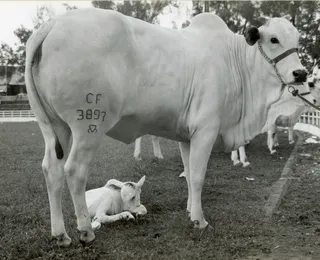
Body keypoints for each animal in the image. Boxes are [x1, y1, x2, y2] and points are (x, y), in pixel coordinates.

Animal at [26, 8, 308, 246]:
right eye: (273, 39)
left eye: (297, 41)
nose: (301, 73)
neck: (235, 63)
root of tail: (54, 22)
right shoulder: (206, 130)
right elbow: (198, 175)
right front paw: (199, 220)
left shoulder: (187, 136)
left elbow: (188, 172)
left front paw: (190, 210)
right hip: (88, 125)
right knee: (74, 171)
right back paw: (85, 231)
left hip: (56, 127)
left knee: (52, 170)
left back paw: (60, 234)